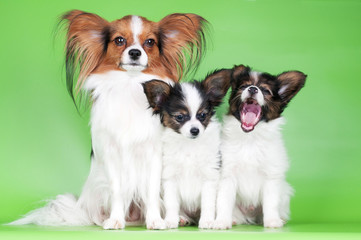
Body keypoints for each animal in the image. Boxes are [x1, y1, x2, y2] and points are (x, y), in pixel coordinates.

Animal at [9, 9, 207, 231]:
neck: (130, 84)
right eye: (119, 40)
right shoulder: (111, 154)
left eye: (150, 42)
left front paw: (155, 220)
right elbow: (117, 190)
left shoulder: (154, 154)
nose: (135, 52)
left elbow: (151, 191)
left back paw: (178, 217)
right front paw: (115, 220)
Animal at [141, 69, 231, 229]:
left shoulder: (209, 176)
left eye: (202, 115)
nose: (195, 130)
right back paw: (182, 218)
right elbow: (171, 203)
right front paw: (170, 221)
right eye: (180, 117)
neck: (189, 146)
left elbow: (208, 203)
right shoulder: (170, 178)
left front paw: (207, 221)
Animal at [212, 64, 306, 230]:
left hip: (284, 192)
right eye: (243, 86)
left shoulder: (271, 177)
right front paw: (222, 222)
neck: (250, 139)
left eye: (266, 91)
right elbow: (224, 201)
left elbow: (271, 202)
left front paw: (272, 221)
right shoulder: (227, 175)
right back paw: (234, 220)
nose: (252, 89)